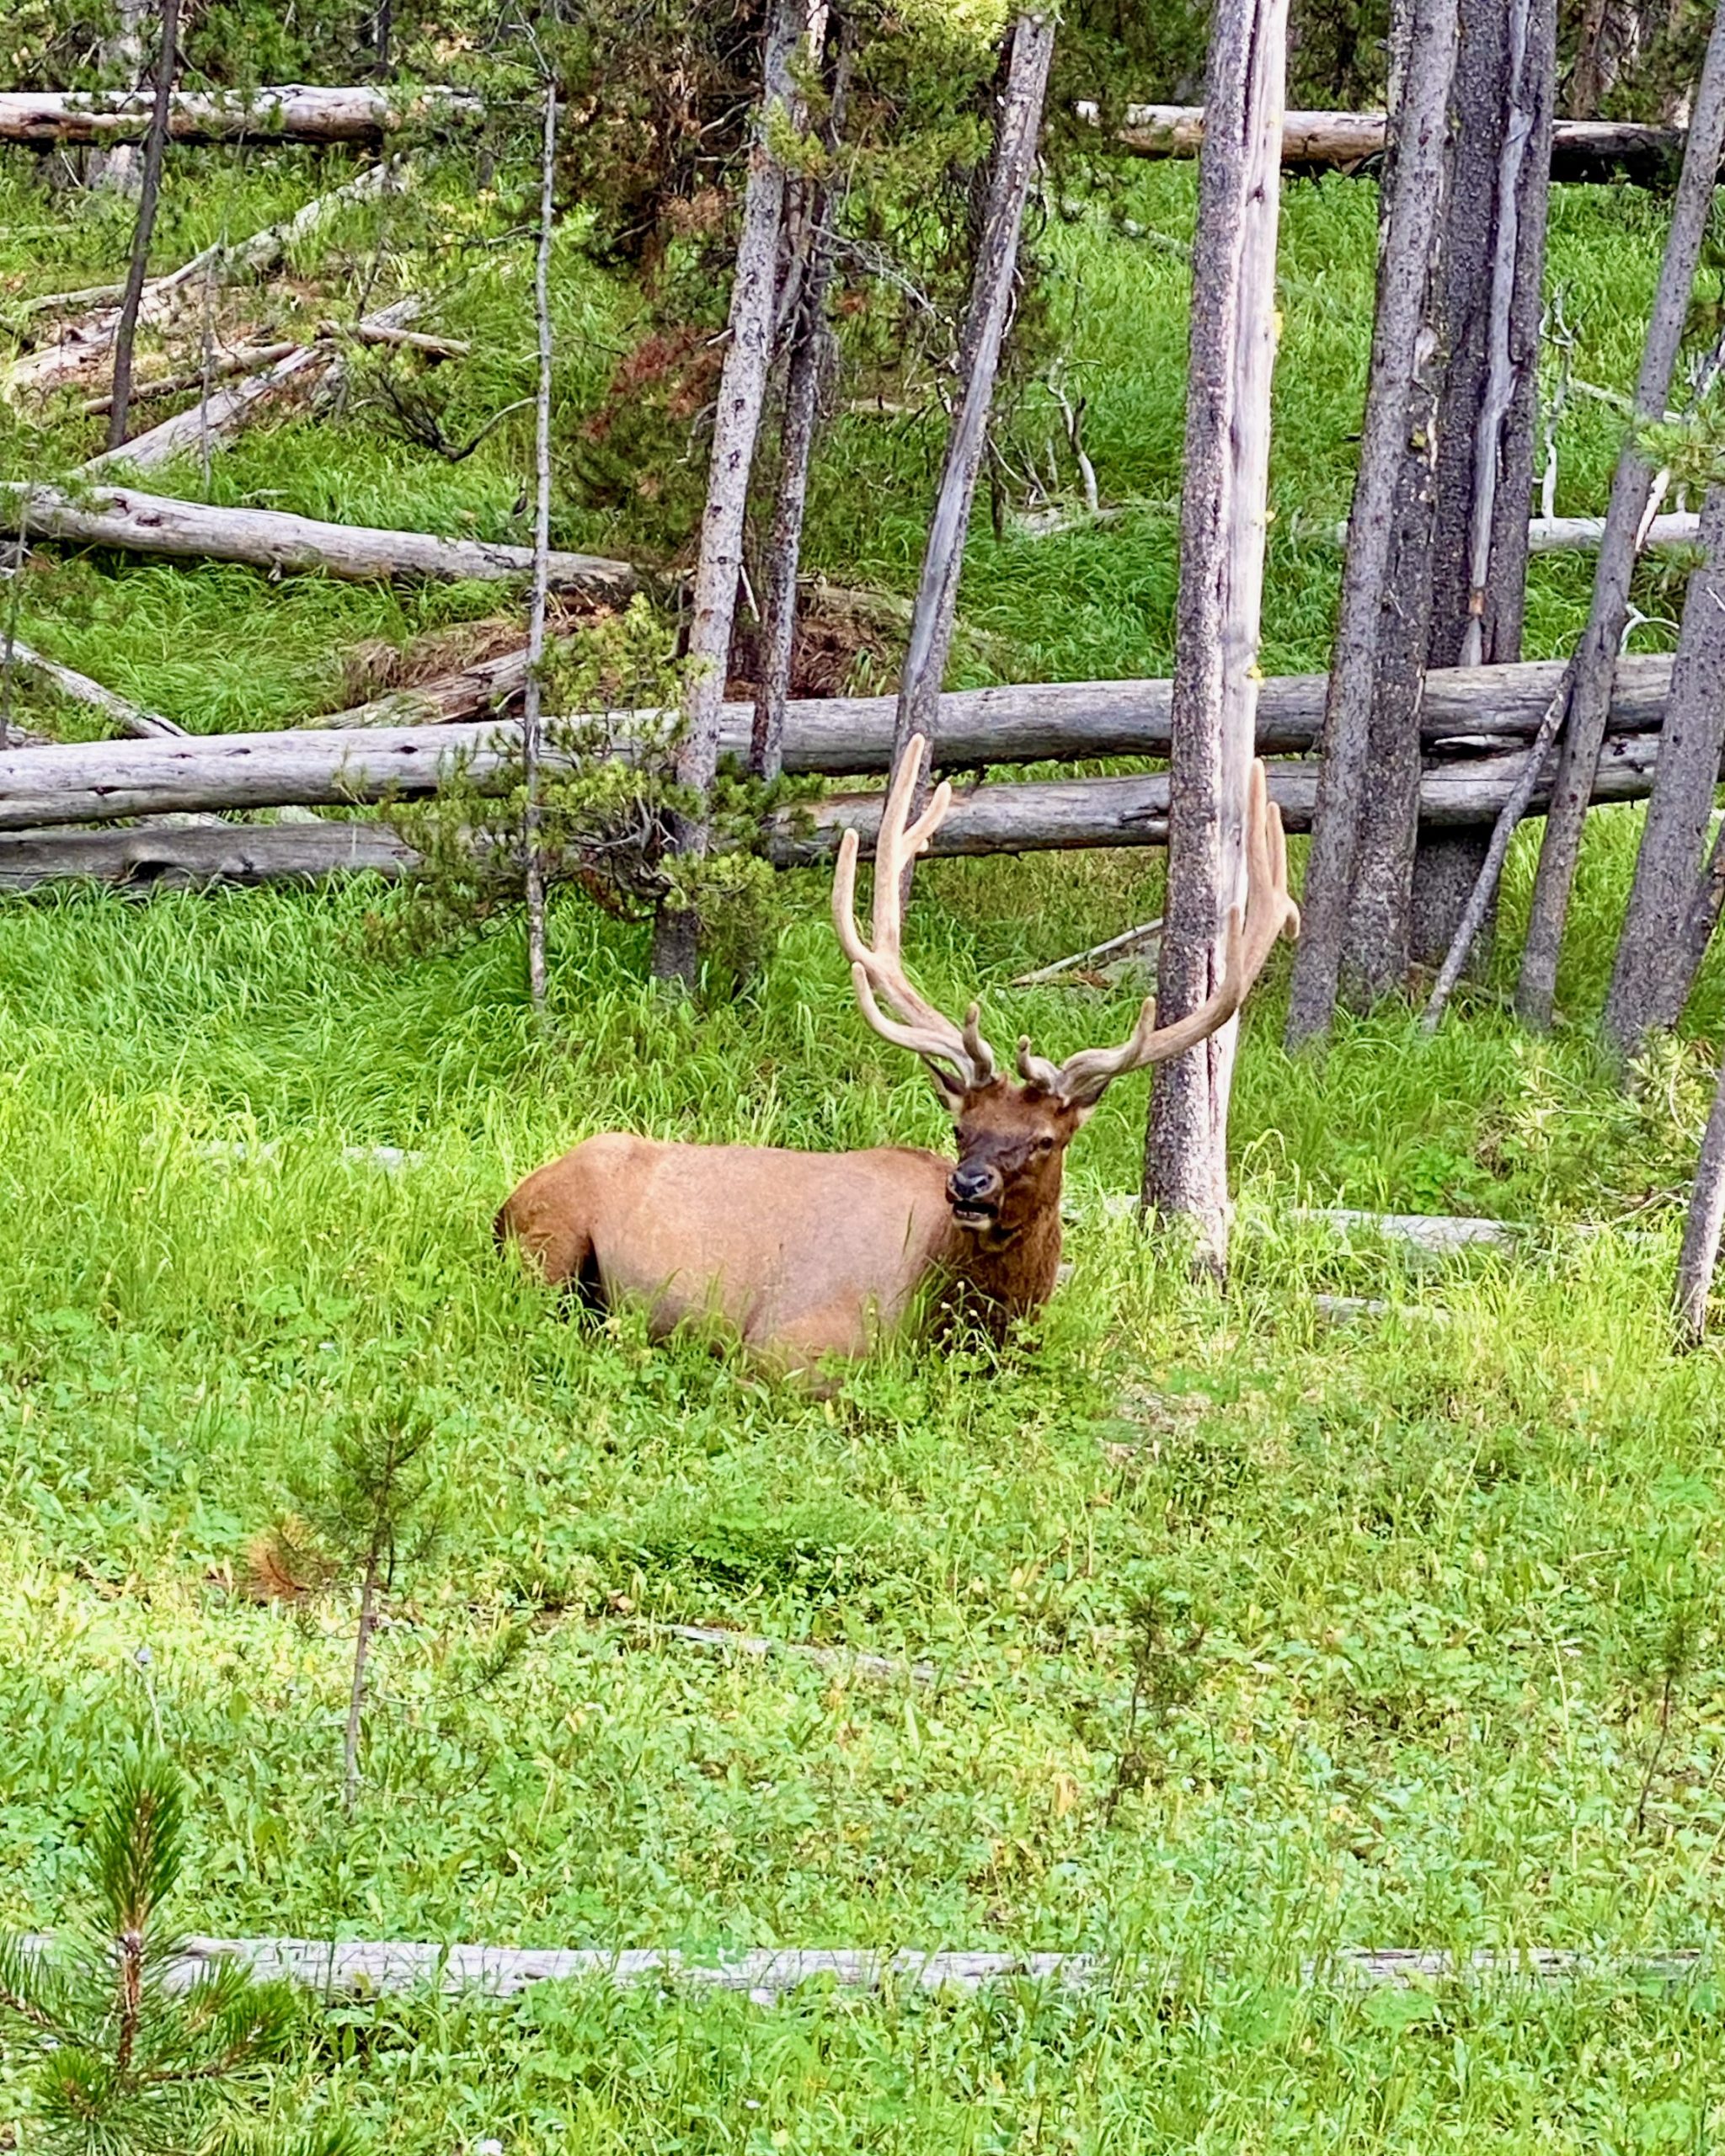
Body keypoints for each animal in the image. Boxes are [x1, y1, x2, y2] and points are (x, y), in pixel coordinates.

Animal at [495, 737, 1294, 1380]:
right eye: (961, 1129)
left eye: (1044, 1139)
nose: (967, 1187)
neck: (943, 1318)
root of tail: (511, 1199)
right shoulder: (783, 1345)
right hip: (549, 1246)